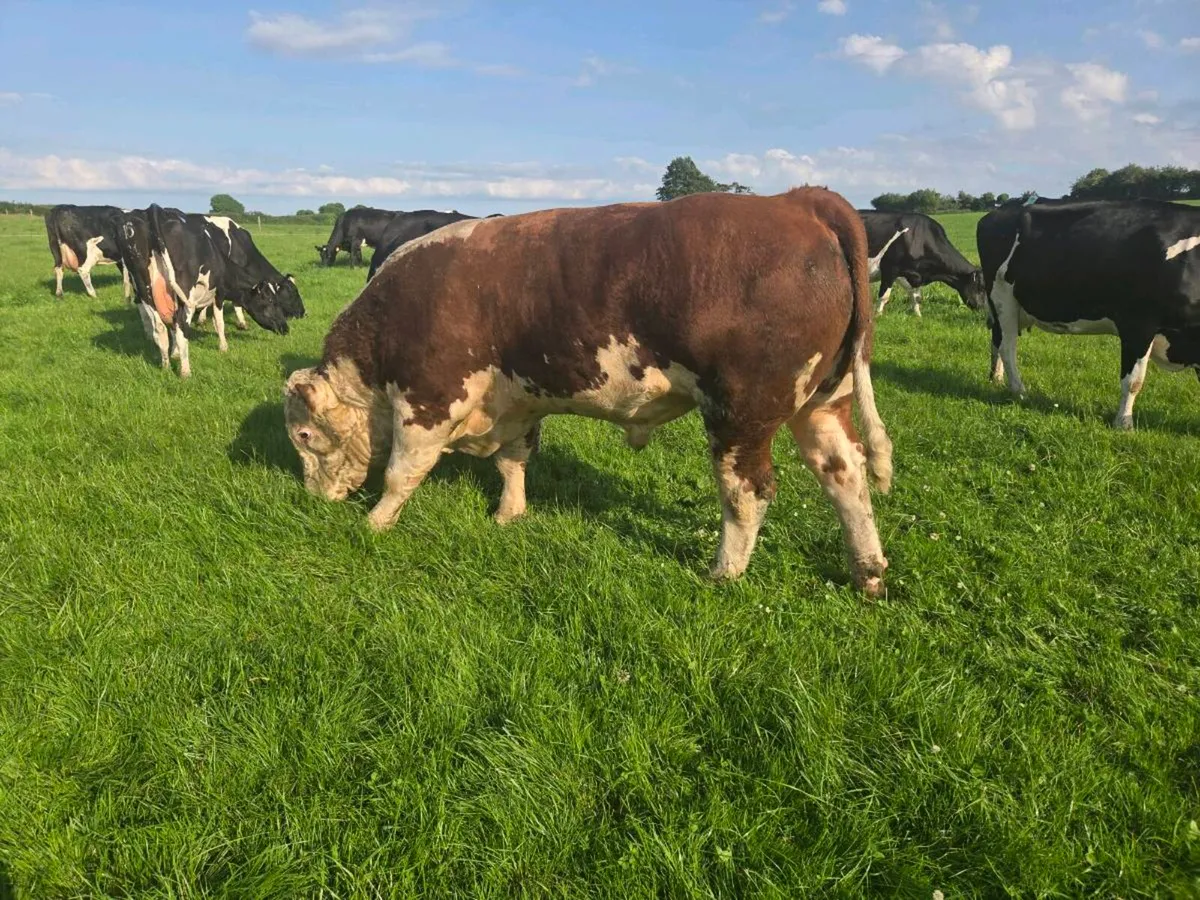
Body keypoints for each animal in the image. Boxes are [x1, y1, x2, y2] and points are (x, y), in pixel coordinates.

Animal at [115, 204, 293, 377]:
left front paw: (175, 354)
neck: (221, 263)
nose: (285, 328)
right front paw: (223, 347)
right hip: (184, 294)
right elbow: (219, 322)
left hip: (145, 291)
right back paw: (185, 372)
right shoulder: (219, 294)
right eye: (271, 301)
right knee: (181, 328)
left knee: (160, 329)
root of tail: (152, 211)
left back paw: (165, 367)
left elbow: (172, 328)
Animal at [283, 187, 895, 594]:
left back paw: (723, 572)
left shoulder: (428, 400)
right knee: (846, 473)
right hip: (822, 401)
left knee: (748, 492)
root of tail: (799, 200)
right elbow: (514, 460)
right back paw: (867, 572)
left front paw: (375, 523)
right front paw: (510, 514)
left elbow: (402, 472)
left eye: (305, 436)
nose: (313, 498)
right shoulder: (518, 400)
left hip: (740, 412)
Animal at [977, 197, 1200, 429]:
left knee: (997, 340)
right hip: (1003, 299)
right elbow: (1133, 381)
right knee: (1008, 347)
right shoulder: (1137, 324)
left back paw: (996, 380)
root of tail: (997, 212)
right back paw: (1019, 391)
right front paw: (1123, 423)